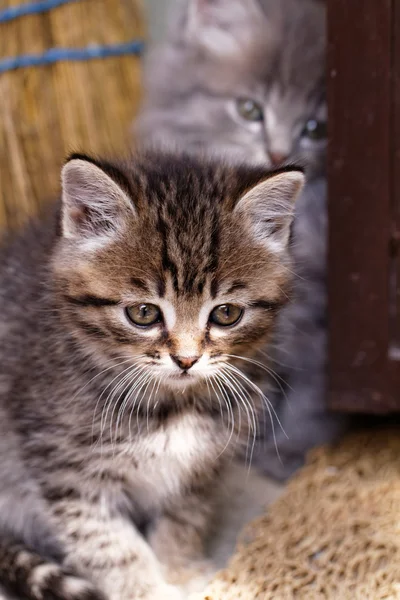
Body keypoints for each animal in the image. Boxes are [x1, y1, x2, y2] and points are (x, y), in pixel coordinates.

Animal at [0, 154, 304, 600]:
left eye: (226, 313)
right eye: (143, 313)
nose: (186, 359)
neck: (172, 406)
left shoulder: (200, 467)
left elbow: (182, 520)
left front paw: (181, 571)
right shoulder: (68, 471)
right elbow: (109, 546)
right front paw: (145, 588)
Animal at [135, 0, 346, 480]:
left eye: (315, 128)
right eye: (249, 110)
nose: (277, 154)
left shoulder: (317, 327)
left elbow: (310, 396)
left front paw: (286, 450)